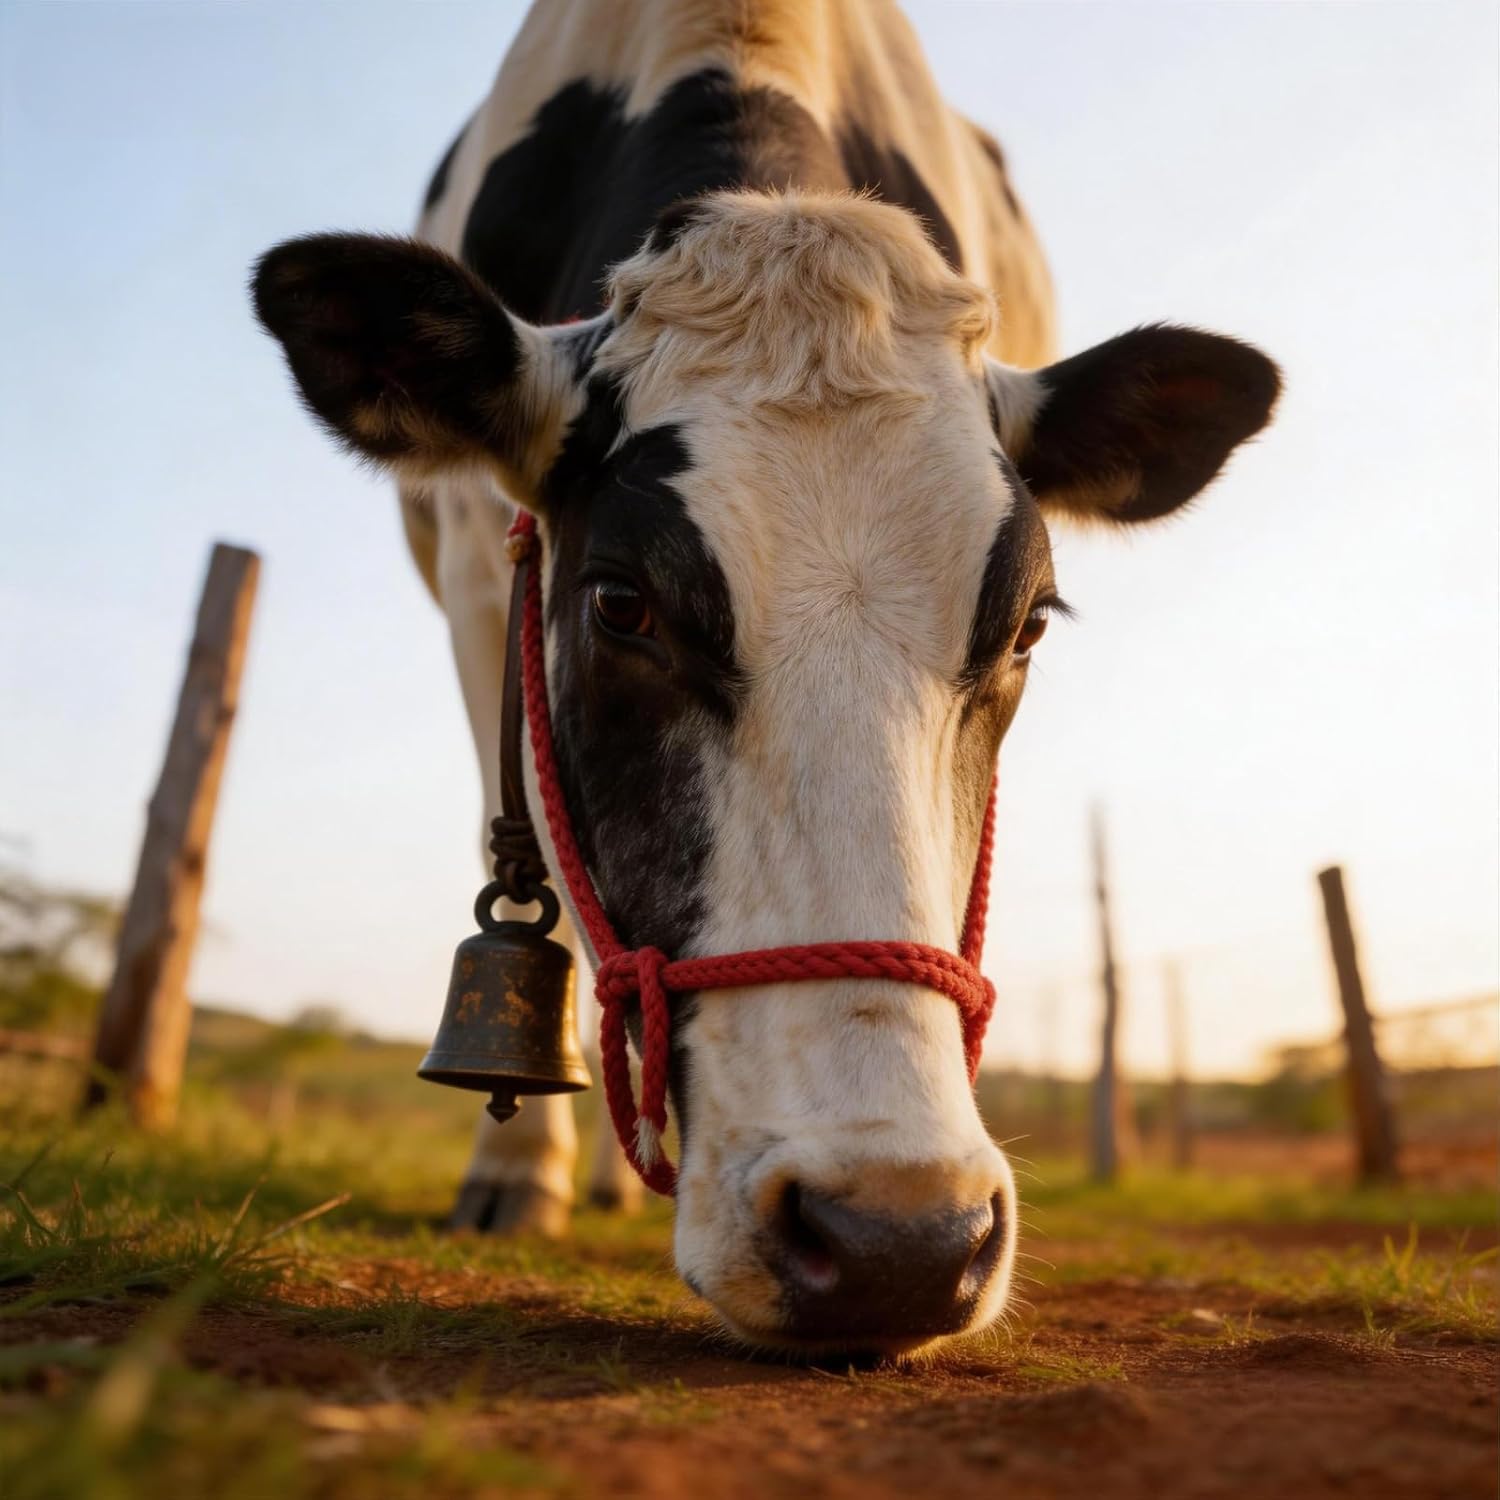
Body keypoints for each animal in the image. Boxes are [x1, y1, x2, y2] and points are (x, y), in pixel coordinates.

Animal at [253, 0, 1279, 1357]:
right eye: (619, 604)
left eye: (1027, 627)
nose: (901, 1241)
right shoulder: (478, 569)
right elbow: (535, 870)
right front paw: (515, 1179)